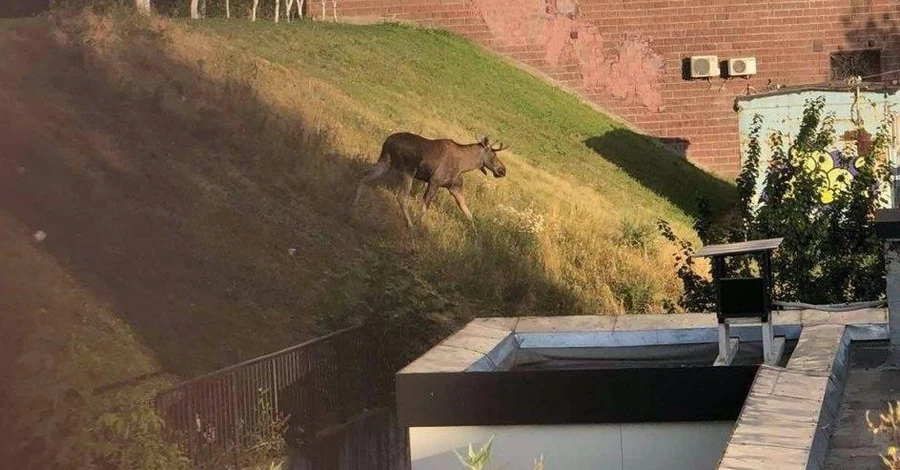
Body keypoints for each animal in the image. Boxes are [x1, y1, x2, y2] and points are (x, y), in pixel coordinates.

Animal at [352, 132, 506, 231]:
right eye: (494, 154)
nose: (503, 170)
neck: (465, 165)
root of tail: (388, 141)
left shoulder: (454, 187)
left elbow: (468, 213)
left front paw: (476, 235)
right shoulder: (434, 181)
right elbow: (424, 207)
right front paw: (418, 225)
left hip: (385, 162)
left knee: (364, 176)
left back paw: (355, 202)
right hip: (408, 171)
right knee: (401, 197)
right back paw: (409, 224)